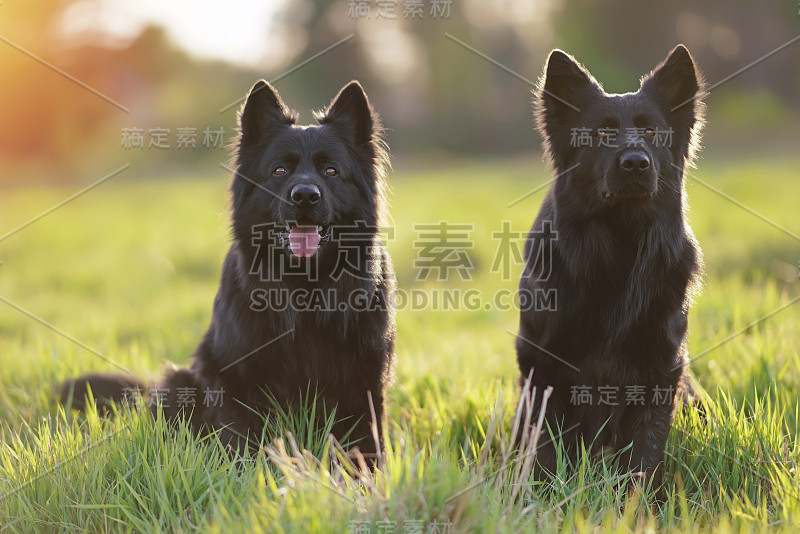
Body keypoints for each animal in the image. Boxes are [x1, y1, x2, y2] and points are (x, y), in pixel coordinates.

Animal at [64, 79, 396, 460]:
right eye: (280, 171)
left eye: (331, 171)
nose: (305, 196)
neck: (304, 286)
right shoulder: (232, 380)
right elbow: (242, 442)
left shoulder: (365, 384)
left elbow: (366, 450)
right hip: (179, 382)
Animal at [516, 46, 704, 490]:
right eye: (601, 135)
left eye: (651, 133)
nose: (635, 163)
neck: (621, 242)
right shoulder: (542, 368)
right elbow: (545, 454)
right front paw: (542, 496)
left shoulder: (660, 372)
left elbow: (643, 458)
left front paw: (638, 502)